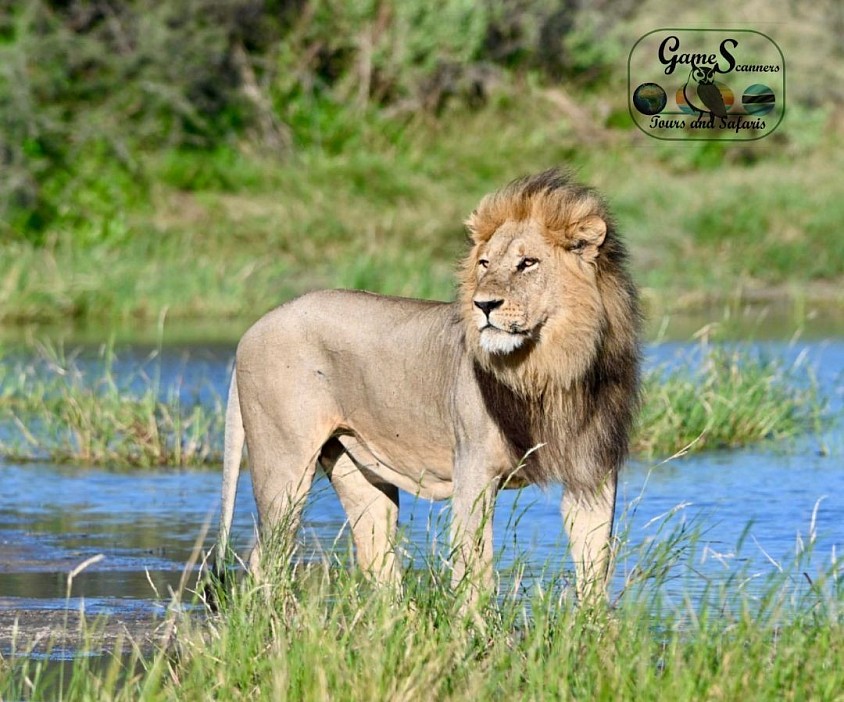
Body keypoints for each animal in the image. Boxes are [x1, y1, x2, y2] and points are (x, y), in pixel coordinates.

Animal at [216, 168, 641, 603]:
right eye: (485, 263)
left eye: (528, 263)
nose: (483, 305)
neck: (551, 368)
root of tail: (254, 328)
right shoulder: (473, 468)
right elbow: (475, 571)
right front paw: (473, 622)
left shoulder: (593, 470)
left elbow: (595, 565)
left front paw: (591, 621)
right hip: (284, 464)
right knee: (264, 557)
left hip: (358, 471)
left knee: (377, 561)